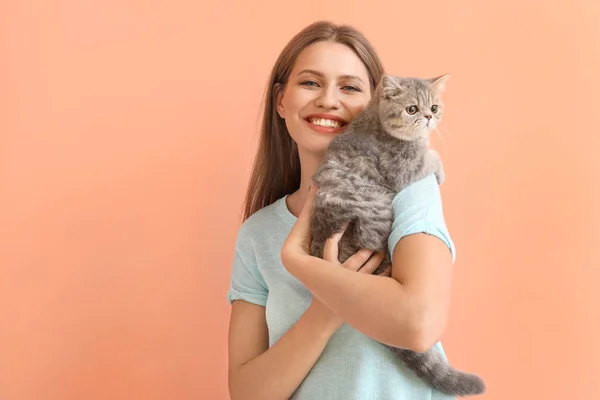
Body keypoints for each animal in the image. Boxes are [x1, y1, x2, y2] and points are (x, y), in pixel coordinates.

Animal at [310, 73, 488, 396]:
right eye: (411, 109)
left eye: (434, 106)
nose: (428, 117)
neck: (375, 122)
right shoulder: (405, 170)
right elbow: (431, 158)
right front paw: (440, 170)